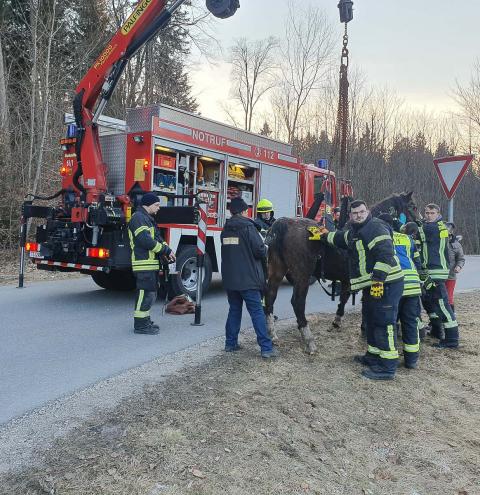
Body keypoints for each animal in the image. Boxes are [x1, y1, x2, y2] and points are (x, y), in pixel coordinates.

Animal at [266, 192, 420, 354]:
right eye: (413, 206)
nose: (418, 224)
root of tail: (283, 224)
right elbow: (364, 303)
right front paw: (364, 328)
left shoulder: (347, 280)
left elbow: (344, 298)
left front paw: (337, 320)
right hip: (302, 276)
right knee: (297, 303)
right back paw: (309, 339)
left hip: (277, 270)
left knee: (270, 296)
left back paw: (272, 333)